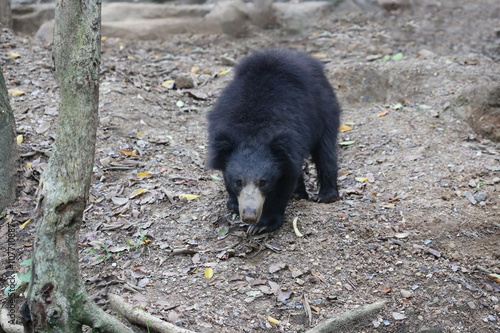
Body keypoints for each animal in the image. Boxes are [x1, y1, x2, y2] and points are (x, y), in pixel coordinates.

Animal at [206, 49, 340, 233]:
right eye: (238, 182)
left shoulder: (292, 139)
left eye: (263, 182)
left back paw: (326, 196)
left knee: (325, 151)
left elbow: (284, 182)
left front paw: (261, 225)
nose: (249, 216)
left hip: (325, 109)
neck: (252, 131)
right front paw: (233, 204)